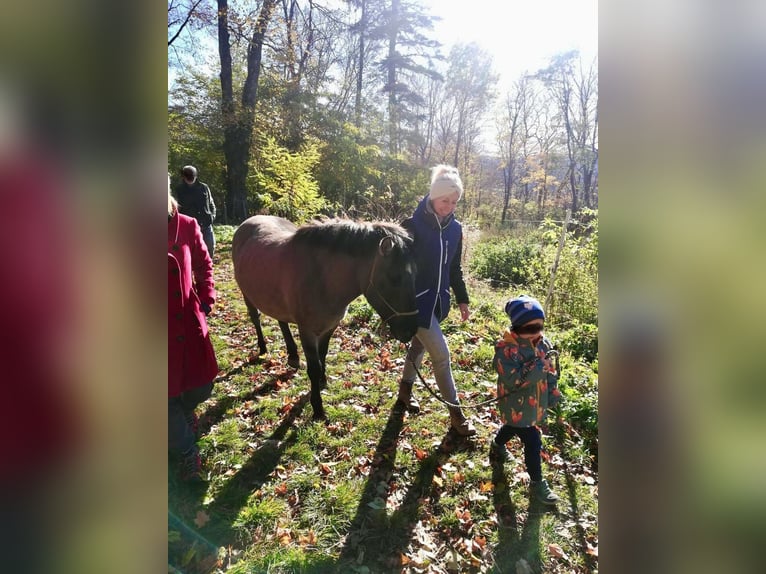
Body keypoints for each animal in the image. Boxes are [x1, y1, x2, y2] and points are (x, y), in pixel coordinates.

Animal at [234, 216, 420, 424]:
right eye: (394, 277)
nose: (410, 329)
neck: (322, 278)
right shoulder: (307, 331)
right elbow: (313, 368)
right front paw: (317, 408)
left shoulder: (329, 327)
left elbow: (322, 355)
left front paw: (322, 381)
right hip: (247, 296)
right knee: (256, 319)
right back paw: (263, 347)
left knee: (282, 321)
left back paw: (293, 355)